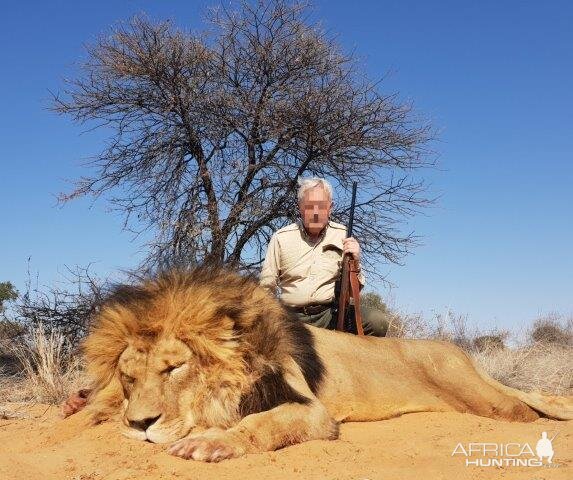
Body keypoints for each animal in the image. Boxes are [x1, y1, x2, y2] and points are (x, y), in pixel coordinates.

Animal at [79, 266, 572, 462]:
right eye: (128, 377)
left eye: (173, 369)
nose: (140, 424)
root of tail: (457, 349)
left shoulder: (313, 411)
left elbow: (263, 423)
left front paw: (210, 442)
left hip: (481, 396)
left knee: (523, 407)